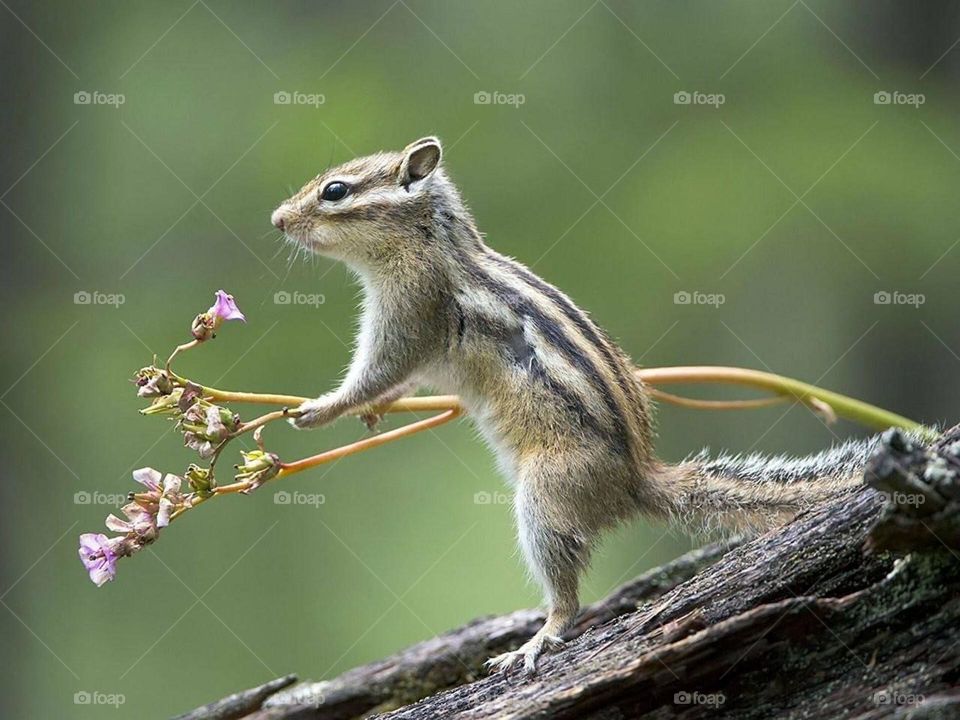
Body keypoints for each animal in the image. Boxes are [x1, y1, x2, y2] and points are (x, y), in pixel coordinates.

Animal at [270, 136, 881, 675]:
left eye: (335, 190)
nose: (277, 219)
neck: (430, 242)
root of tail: (637, 479)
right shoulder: (425, 350)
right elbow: (402, 385)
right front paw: (372, 414)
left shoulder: (411, 308)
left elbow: (380, 371)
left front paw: (321, 409)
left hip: (546, 498)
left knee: (567, 599)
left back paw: (535, 640)